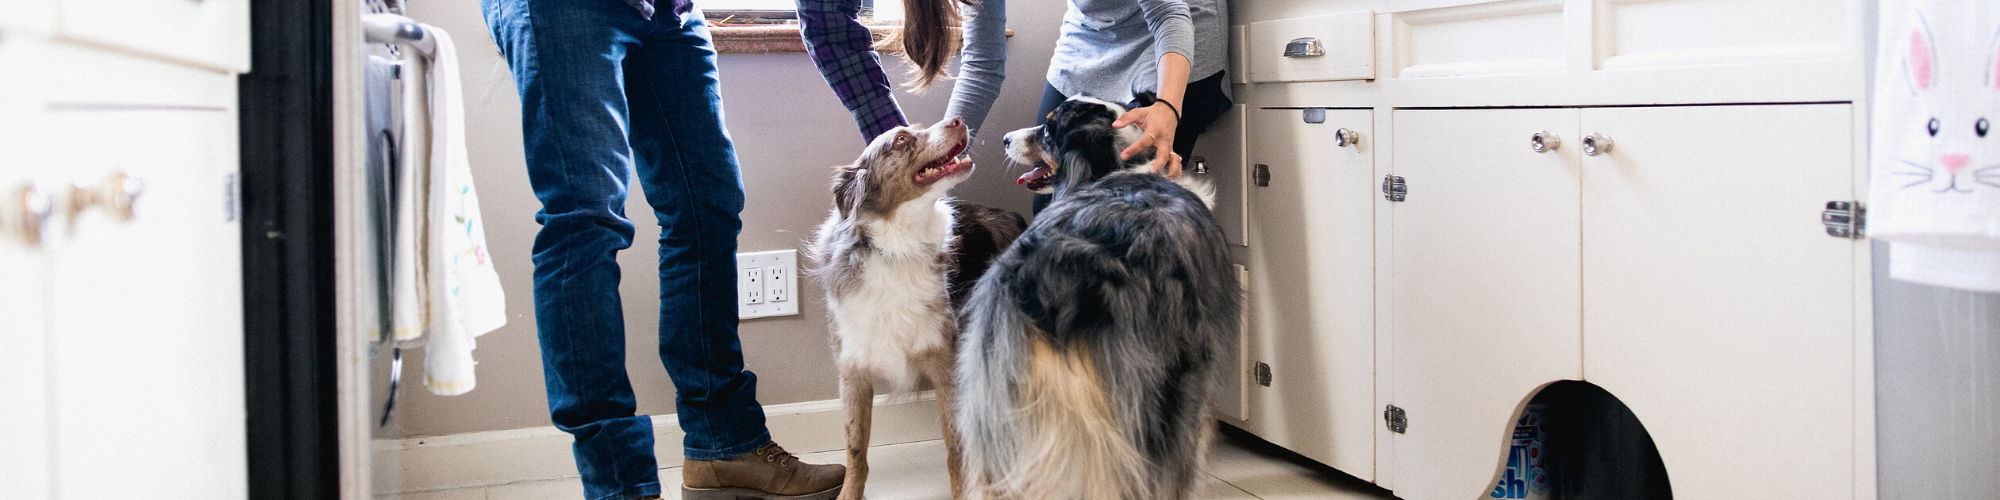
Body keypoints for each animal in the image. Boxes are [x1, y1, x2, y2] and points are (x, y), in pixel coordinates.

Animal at [808, 117, 1024, 500]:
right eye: (901, 139)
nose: (958, 120)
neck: (897, 247)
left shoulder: (945, 362)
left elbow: (955, 447)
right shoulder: (853, 369)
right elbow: (855, 449)